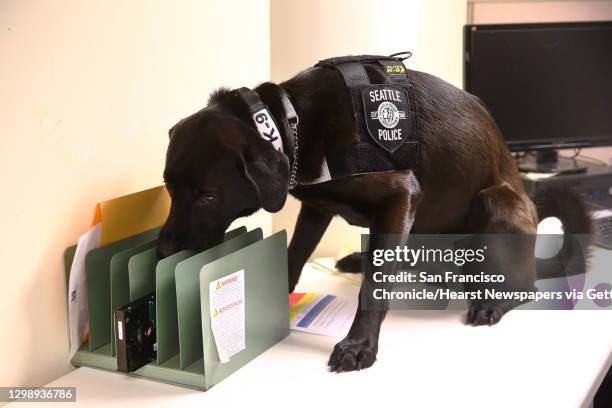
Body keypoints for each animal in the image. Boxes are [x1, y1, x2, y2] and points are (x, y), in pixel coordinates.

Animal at [157, 59, 588, 370]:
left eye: (208, 196)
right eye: (169, 187)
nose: (162, 251)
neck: (295, 120)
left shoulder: (400, 198)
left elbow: (375, 287)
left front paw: (359, 344)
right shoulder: (317, 207)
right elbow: (294, 256)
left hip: (496, 204)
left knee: (525, 285)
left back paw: (491, 302)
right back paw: (357, 259)